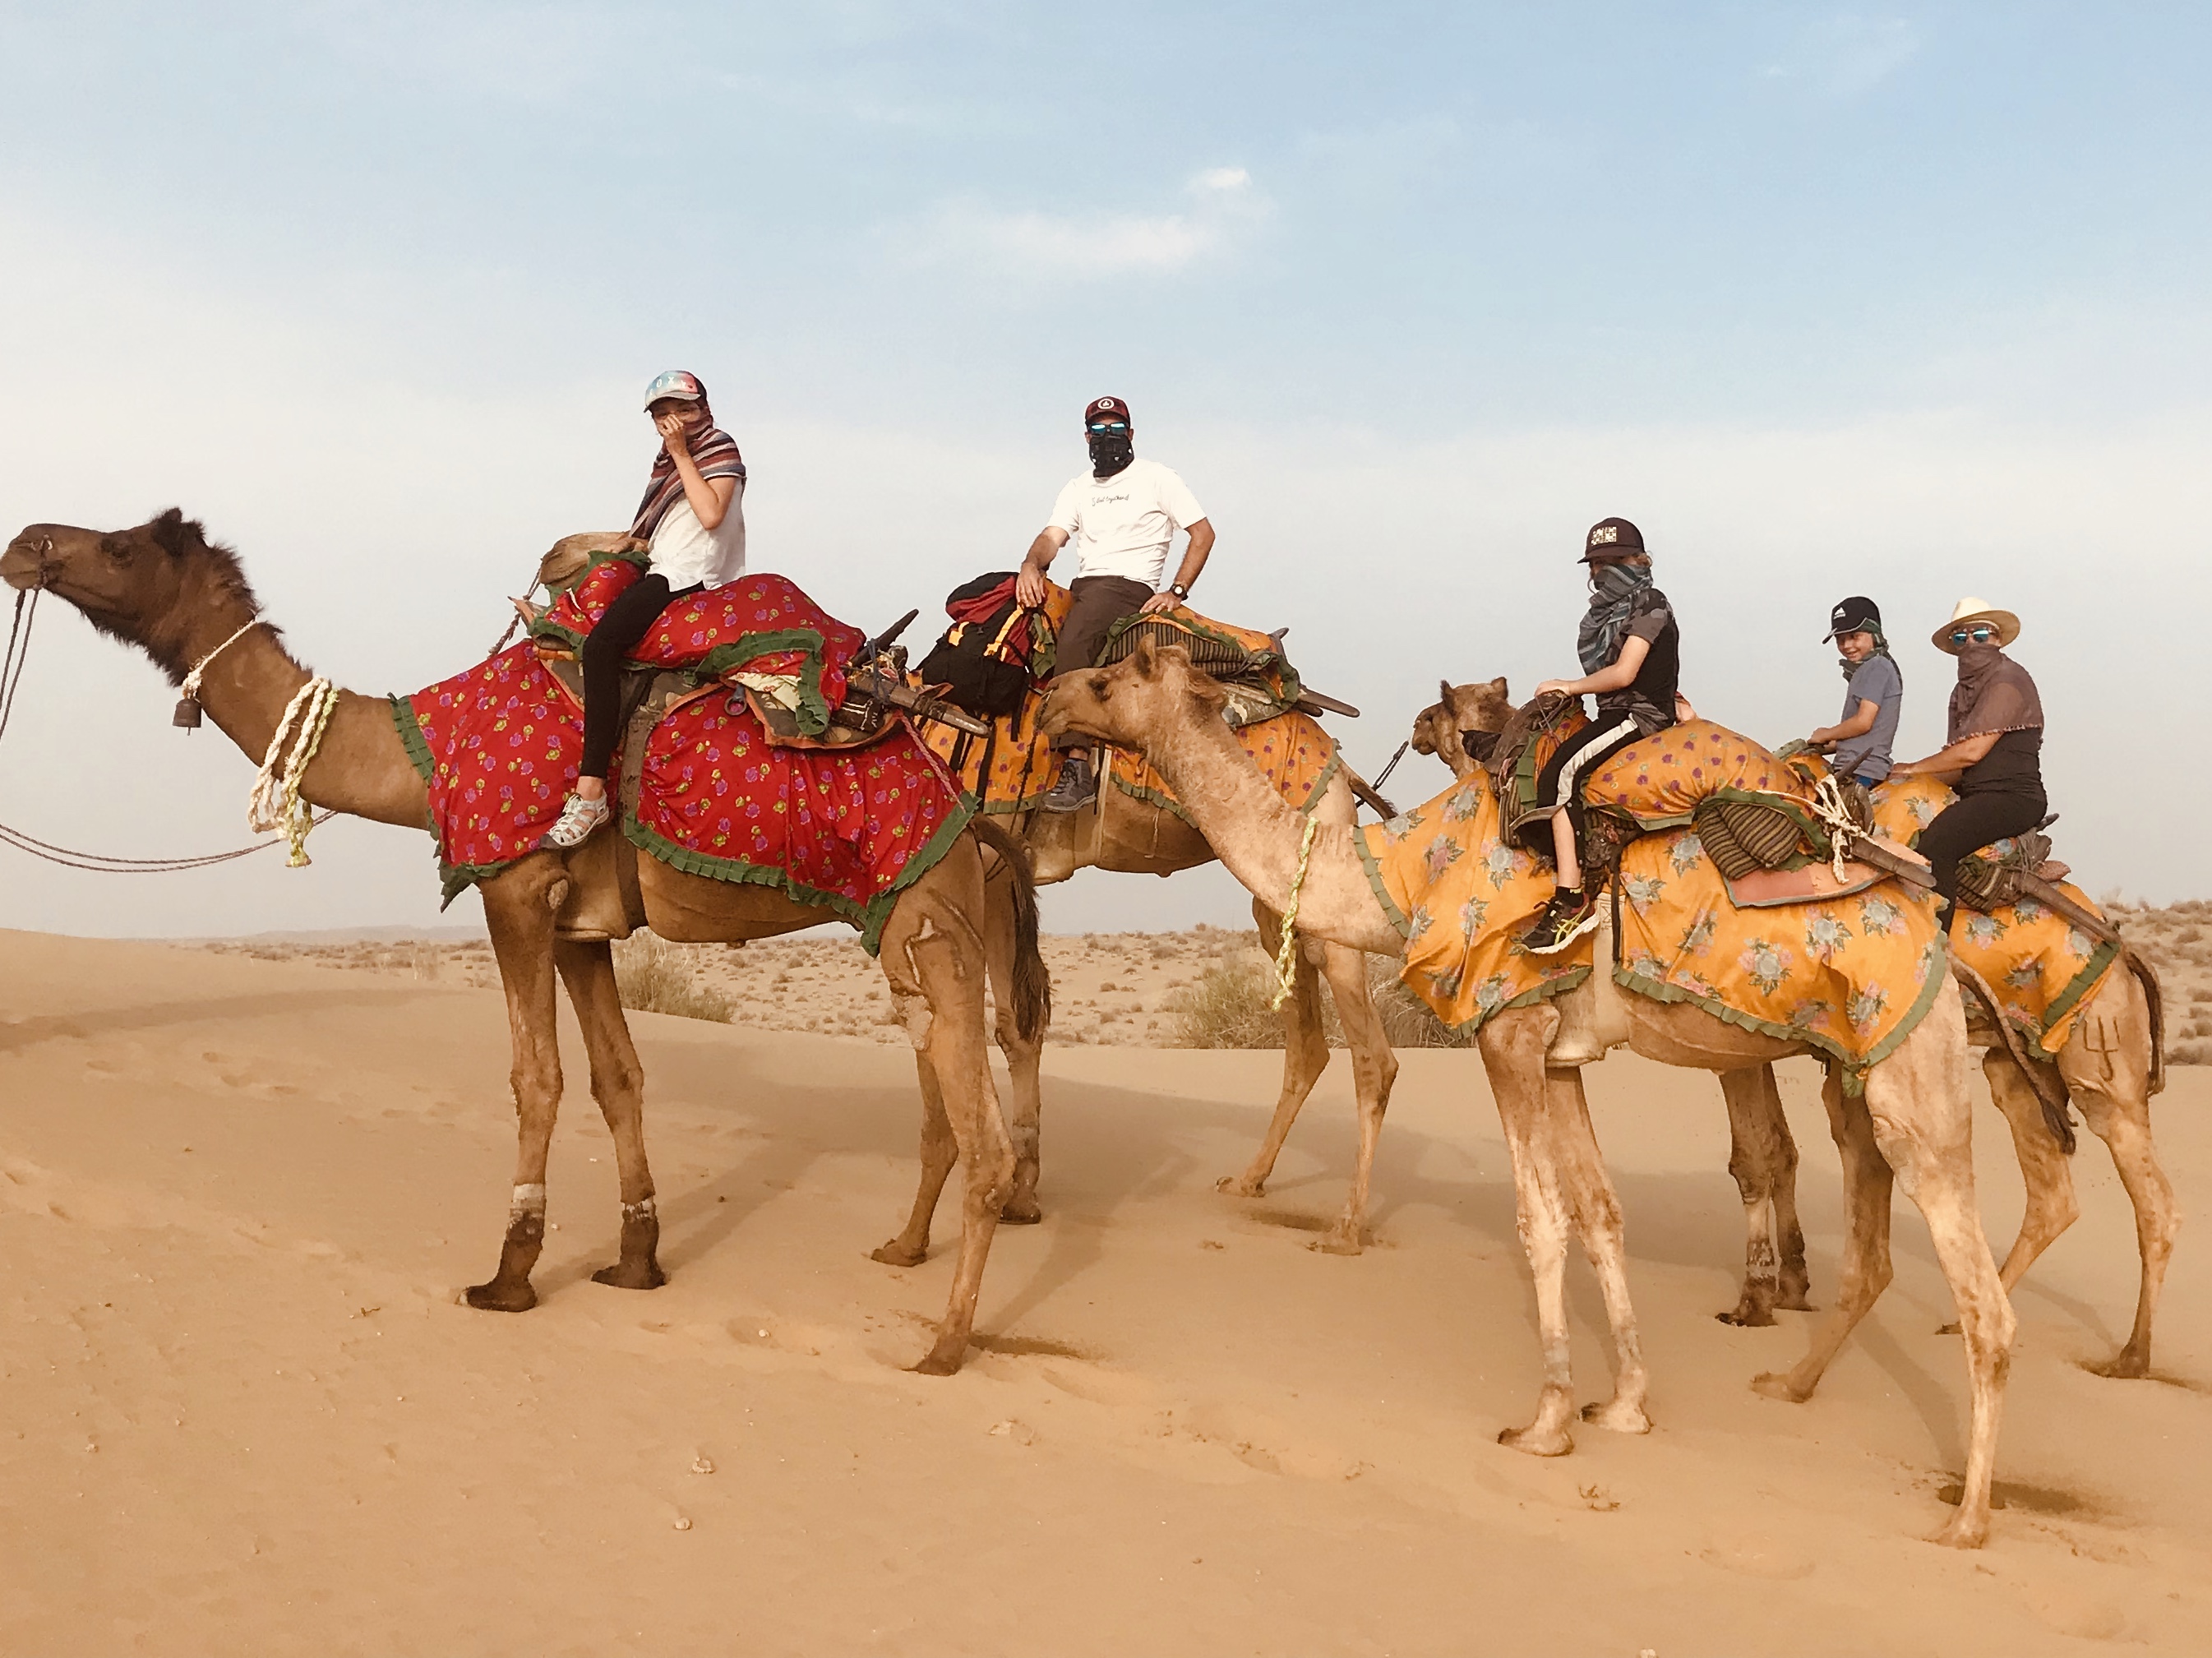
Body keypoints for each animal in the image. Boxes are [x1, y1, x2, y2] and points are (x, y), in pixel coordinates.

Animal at [6, 510, 1044, 1379]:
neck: (425, 751)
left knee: (986, 1133)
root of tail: (965, 811)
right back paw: (903, 1252)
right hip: (907, 931)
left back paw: (945, 1344)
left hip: (925, 913)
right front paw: (636, 1260)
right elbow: (618, 1077)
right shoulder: (579, 924)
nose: (25, 543)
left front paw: (508, 1275)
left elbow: (534, 1077)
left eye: (122, 547)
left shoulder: (514, 888)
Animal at [1052, 640, 2025, 1556]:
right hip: (1859, 1073)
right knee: (1879, 1246)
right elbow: (1599, 1211)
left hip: (1913, 1069)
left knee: (1982, 1296)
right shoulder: (1560, 1056)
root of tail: (1944, 949)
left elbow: (1540, 1217)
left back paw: (1968, 1517)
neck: (1399, 878)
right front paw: (1625, 1403)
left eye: (1113, 677)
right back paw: (1788, 1384)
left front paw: (1548, 1418)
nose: (1054, 696)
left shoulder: (1505, 1030)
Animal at [1415, 676, 2176, 1379]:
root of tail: (2120, 946)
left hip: (2099, 1051)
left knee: (2151, 1200)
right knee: (2051, 1193)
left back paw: (2132, 1355)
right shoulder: (1751, 1034)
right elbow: (1775, 1150)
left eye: (1446, 708)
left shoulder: (1729, 1030)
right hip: (2014, 1065)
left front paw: (1758, 1294)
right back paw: (1961, 1325)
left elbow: (1756, 1156)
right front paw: (1790, 1281)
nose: (1426, 728)